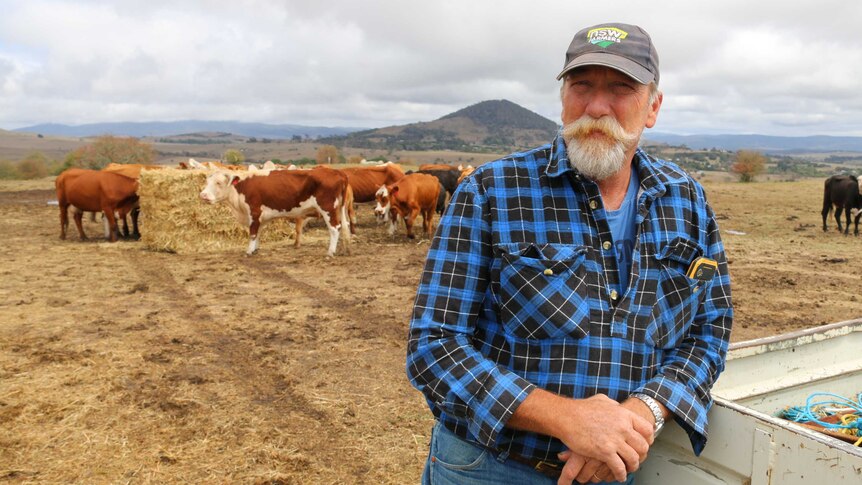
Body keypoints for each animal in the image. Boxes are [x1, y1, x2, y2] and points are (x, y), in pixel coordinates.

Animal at [199, 165, 352, 258]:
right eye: (206, 182)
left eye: (219, 183)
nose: (203, 195)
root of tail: (337, 172)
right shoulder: (260, 217)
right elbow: (258, 232)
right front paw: (255, 250)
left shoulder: (254, 212)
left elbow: (252, 233)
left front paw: (248, 251)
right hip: (340, 209)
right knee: (345, 226)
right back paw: (345, 249)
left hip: (328, 208)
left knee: (335, 228)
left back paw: (330, 252)